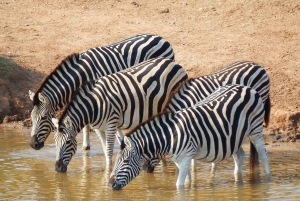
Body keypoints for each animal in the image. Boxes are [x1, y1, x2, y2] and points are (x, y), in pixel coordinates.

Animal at [29, 33, 175, 152]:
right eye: (31, 118)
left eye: (43, 118)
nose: (32, 145)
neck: (81, 76)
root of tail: (161, 38)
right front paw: (87, 146)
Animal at [51, 57, 188, 172]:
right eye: (55, 141)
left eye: (68, 142)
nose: (57, 168)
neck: (94, 105)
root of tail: (174, 63)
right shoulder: (98, 128)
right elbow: (106, 149)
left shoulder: (111, 124)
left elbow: (109, 151)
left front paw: (107, 172)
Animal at [108, 84, 270, 190]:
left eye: (126, 161)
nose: (110, 185)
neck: (170, 135)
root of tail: (246, 87)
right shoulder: (179, 160)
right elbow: (186, 182)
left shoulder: (186, 156)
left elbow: (179, 185)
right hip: (233, 137)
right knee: (239, 155)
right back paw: (238, 180)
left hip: (255, 129)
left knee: (263, 154)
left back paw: (267, 179)